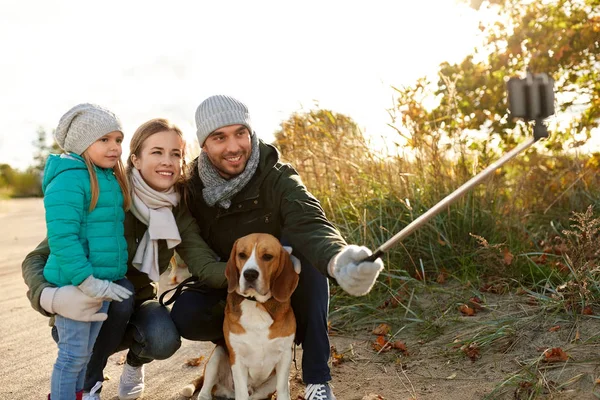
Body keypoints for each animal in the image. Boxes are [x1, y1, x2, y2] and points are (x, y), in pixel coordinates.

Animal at [179, 233, 298, 400]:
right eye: (242, 255)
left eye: (267, 256)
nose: (249, 274)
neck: (256, 304)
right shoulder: (237, 358)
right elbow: (241, 391)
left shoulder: (285, 355)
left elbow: (282, 390)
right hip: (217, 356)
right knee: (205, 391)